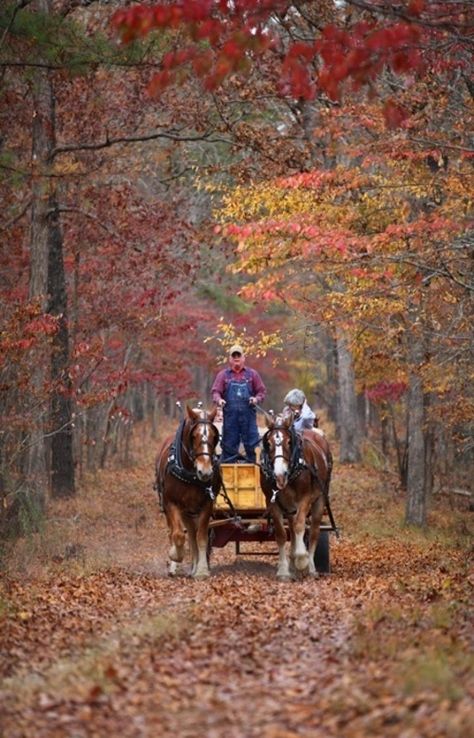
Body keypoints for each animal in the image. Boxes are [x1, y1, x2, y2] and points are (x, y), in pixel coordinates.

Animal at [156, 406, 221, 576]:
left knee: (192, 535)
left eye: (214, 436)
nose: (205, 472)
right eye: (194, 436)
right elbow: (178, 534)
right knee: (176, 532)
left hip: (190, 511)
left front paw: (202, 570)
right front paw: (175, 555)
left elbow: (201, 537)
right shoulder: (171, 503)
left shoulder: (207, 504)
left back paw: (195, 566)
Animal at [260, 412, 334, 576]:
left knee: (313, 531)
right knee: (292, 528)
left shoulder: (305, 498)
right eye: (268, 443)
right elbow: (281, 534)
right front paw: (283, 570)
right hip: (288, 505)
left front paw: (301, 559)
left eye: (289, 442)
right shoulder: (271, 501)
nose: (279, 475)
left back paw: (311, 567)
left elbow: (300, 525)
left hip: (319, 499)